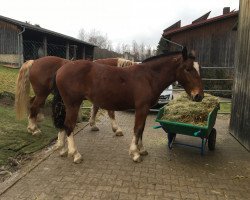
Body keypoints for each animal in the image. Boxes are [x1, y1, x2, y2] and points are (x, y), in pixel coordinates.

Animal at [51, 47, 204, 163]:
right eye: (188, 69)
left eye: (199, 69)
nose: (199, 96)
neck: (148, 77)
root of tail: (61, 69)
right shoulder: (141, 108)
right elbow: (137, 129)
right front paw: (135, 153)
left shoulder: (145, 109)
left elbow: (142, 129)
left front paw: (142, 150)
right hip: (73, 104)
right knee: (69, 125)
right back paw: (75, 154)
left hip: (68, 105)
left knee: (64, 124)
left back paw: (64, 150)